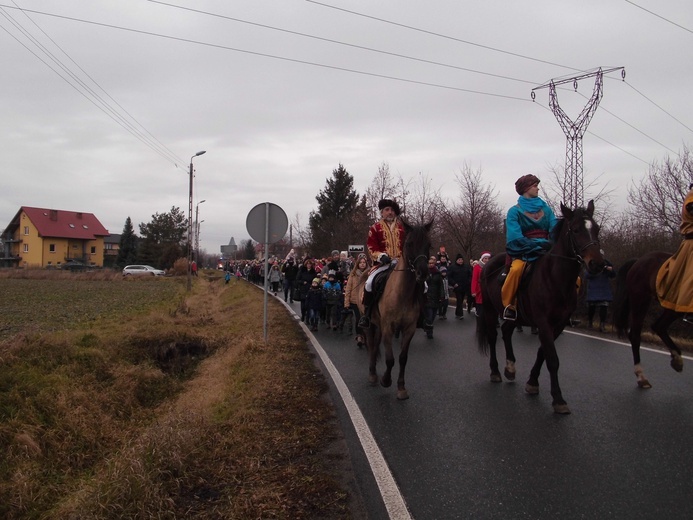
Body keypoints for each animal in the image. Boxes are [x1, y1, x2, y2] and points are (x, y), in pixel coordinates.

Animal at [356, 217, 432, 400]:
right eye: (409, 244)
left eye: (429, 245)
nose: (423, 273)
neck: (402, 293)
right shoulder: (389, 327)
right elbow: (390, 359)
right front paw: (385, 380)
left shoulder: (409, 328)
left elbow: (403, 358)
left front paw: (401, 387)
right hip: (369, 323)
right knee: (371, 344)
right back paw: (372, 374)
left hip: (378, 325)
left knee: (375, 344)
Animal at [478, 200, 604, 414]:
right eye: (576, 230)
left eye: (596, 228)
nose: (597, 264)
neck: (555, 278)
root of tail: (489, 264)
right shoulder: (543, 321)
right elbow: (552, 359)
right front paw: (558, 399)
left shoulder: (558, 324)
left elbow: (543, 353)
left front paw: (532, 382)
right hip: (488, 309)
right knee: (493, 336)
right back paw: (495, 371)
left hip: (516, 314)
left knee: (506, 330)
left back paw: (510, 368)